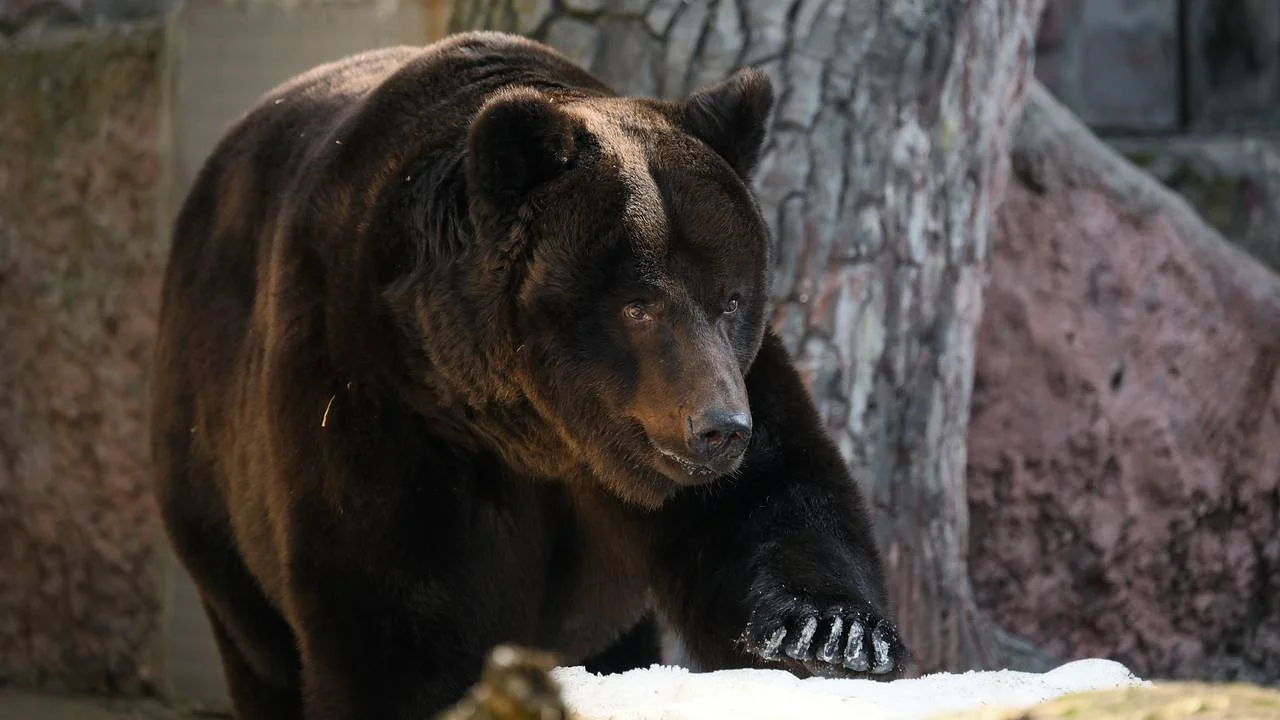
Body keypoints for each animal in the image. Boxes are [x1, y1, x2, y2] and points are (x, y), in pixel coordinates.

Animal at [150, 30, 906, 720]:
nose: (718, 427)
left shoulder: (723, 399)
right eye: (639, 302)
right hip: (210, 473)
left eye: (732, 298)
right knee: (259, 641)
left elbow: (774, 499)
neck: (536, 429)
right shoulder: (376, 387)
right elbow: (388, 606)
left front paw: (832, 635)